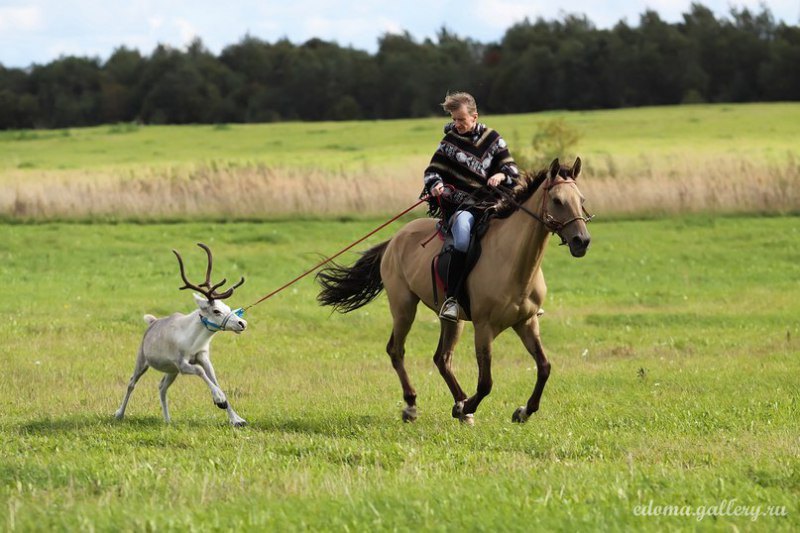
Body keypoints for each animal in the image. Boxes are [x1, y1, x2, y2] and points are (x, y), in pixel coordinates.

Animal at [316, 157, 592, 424]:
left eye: (581, 200)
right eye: (557, 201)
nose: (582, 241)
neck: (512, 261)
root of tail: (394, 240)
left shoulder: (526, 322)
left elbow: (544, 367)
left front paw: (523, 411)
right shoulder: (484, 328)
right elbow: (486, 382)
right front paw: (470, 406)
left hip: (452, 319)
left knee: (442, 358)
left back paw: (458, 403)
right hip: (404, 307)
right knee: (397, 350)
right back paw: (413, 405)